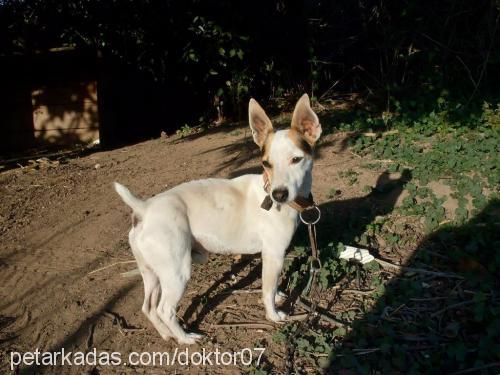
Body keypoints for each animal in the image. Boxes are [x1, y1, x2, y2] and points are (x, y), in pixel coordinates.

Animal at [115, 93, 322, 344]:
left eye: (296, 159)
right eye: (266, 164)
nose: (278, 195)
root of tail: (145, 208)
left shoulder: (271, 256)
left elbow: (273, 285)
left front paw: (281, 294)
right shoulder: (274, 254)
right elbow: (268, 290)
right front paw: (273, 314)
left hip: (152, 273)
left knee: (148, 308)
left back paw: (166, 334)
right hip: (177, 272)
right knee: (165, 310)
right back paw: (185, 338)